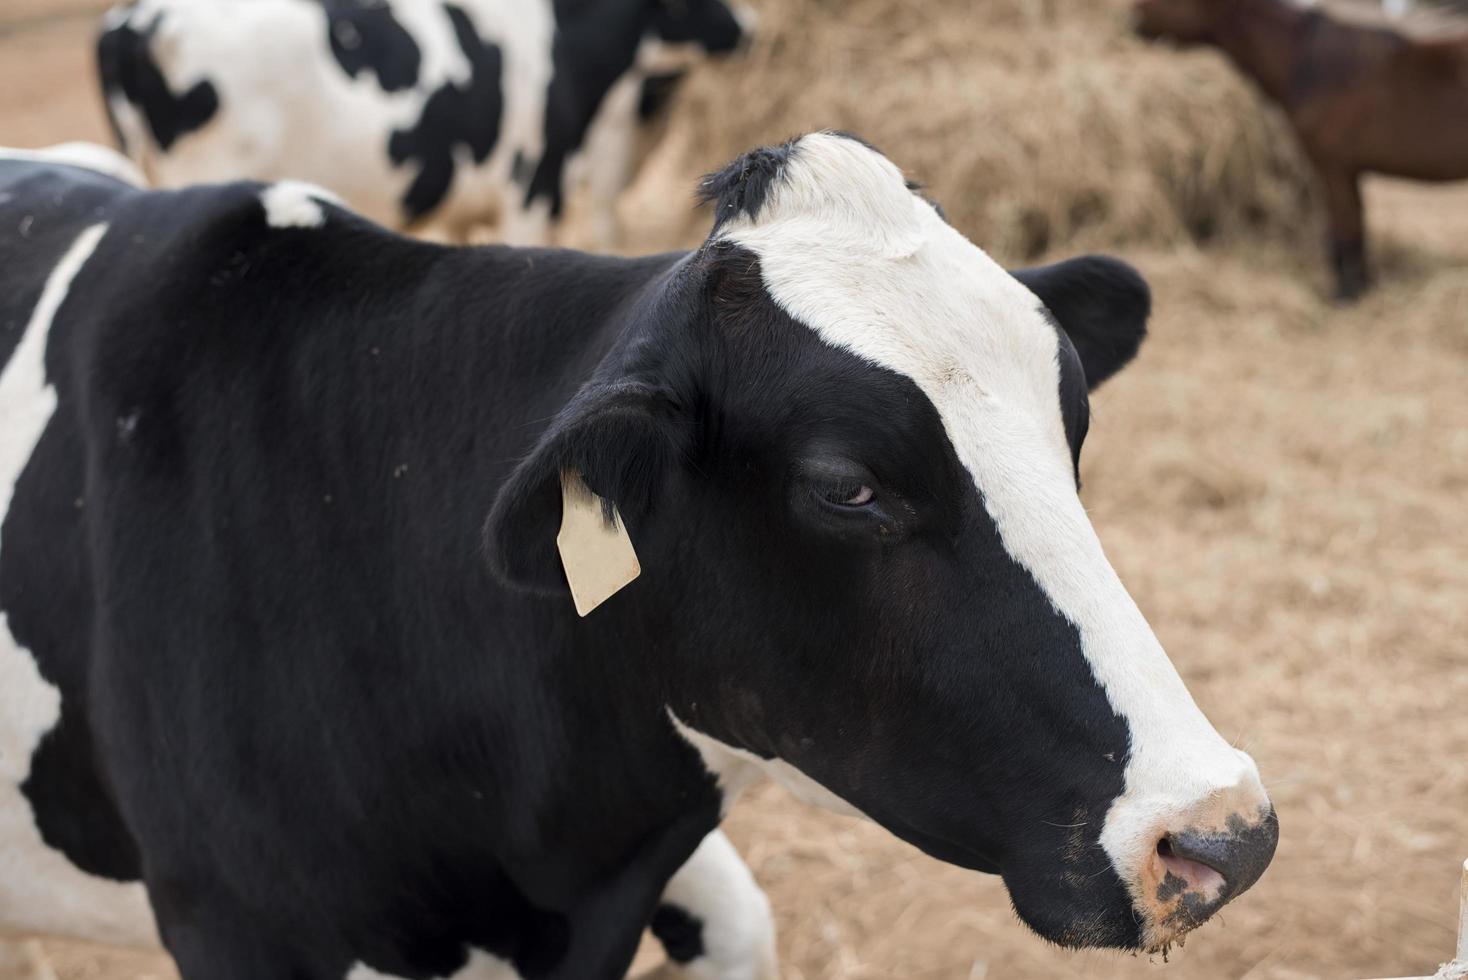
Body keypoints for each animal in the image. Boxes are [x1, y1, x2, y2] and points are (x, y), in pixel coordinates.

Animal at [1133, 0, 1468, 302]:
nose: (1130, 18)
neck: (1309, 64)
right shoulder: (1344, 171)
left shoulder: (1334, 167)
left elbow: (1346, 231)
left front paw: (1346, 294)